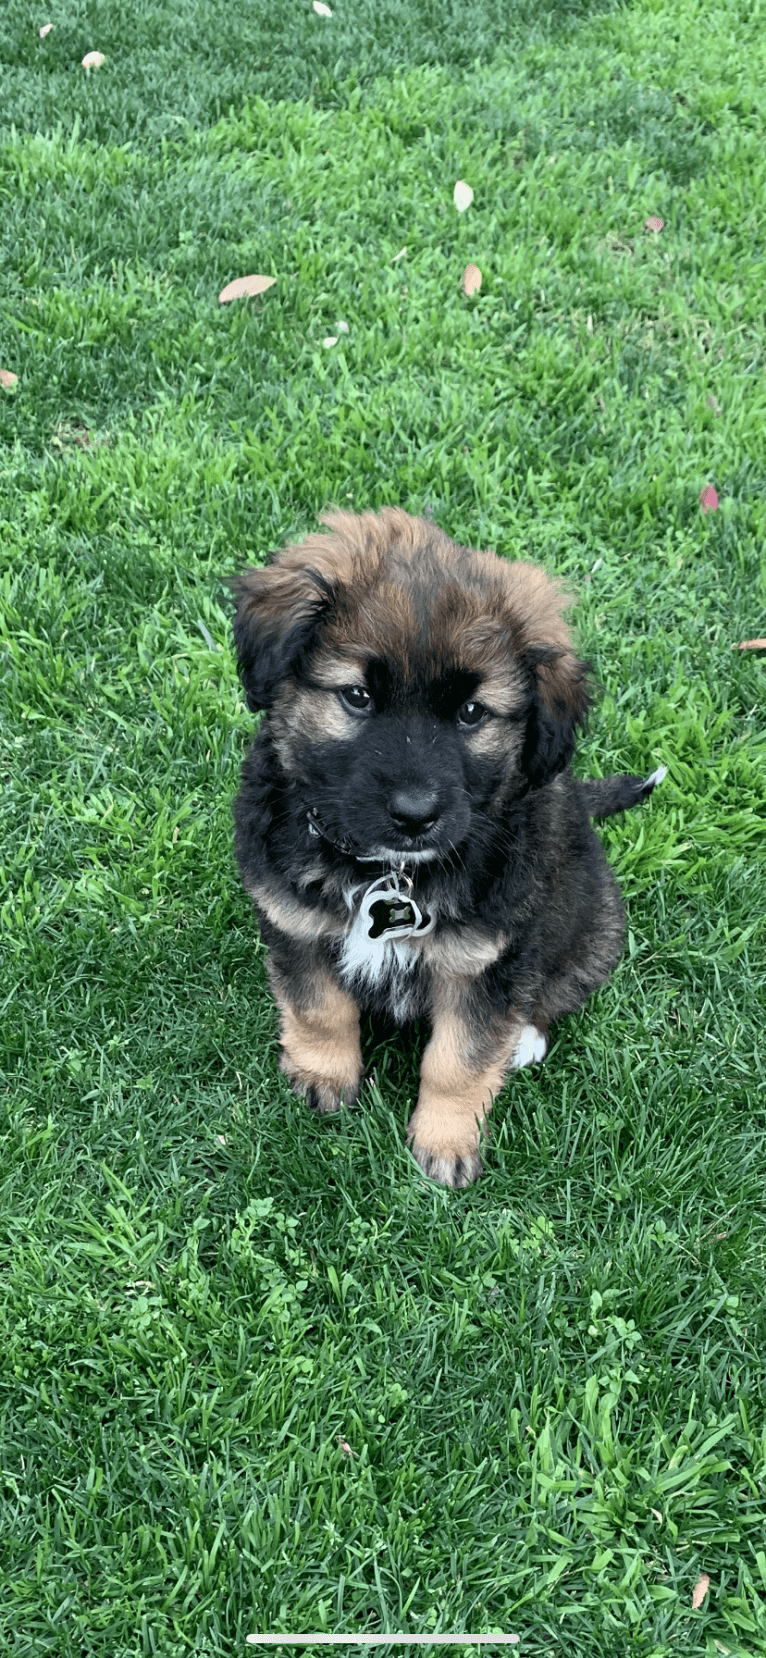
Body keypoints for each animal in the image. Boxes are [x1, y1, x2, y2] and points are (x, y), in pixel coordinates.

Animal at [228, 510, 663, 1187]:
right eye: (358, 696)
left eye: (471, 712)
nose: (414, 816)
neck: (389, 871)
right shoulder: (294, 921)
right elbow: (318, 1007)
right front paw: (324, 1074)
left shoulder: (488, 961)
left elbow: (459, 1059)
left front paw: (446, 1142)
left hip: (594, 926)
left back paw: (525, 1040)